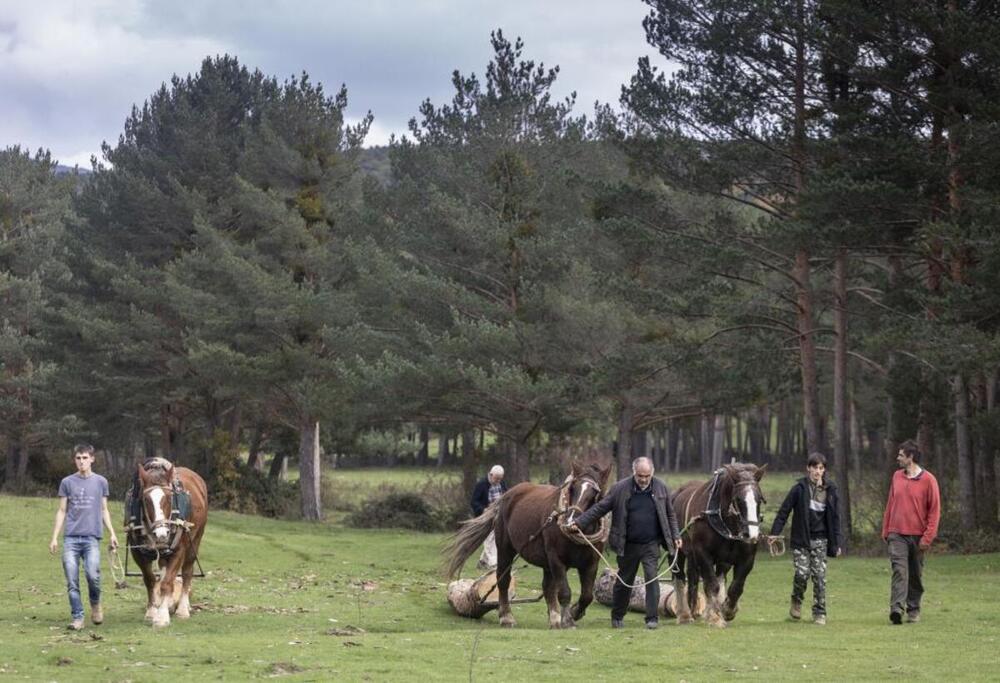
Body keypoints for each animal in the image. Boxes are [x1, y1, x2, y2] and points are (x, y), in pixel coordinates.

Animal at [129, 460, 209, 632]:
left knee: (186, 573)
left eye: (169, 498)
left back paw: (183, 609)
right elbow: (150, 580)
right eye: (146, 500)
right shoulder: (138, 553)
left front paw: (162, 617)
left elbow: (167, 583)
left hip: (195, 541)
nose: (161, 533)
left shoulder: (178, 550)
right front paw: (152, 611)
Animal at [444, 464, 612, 632]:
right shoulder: (556, 560)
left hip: (546, 562)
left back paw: (554, 619)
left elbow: (587, 595)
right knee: (503, 580)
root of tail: (505, 496)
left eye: (595, 493)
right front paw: (568, 620)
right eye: (572, 488)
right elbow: (565, 592)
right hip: (505, 549)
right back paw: (506, 617)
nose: (571, 521)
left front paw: (575, 612)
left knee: (548, 587)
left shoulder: (591, 563)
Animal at [672, 464, 764, 632]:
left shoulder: (747, 558)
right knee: (680, 577)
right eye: (738, 499)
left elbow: (736, 587)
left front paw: (727, 610)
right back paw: (684, 615)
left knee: (707, 578)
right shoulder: (703, 554)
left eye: (759, 499)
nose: (752, 534)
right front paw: (715, 618)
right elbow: (712, 585)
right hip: (678, 551)